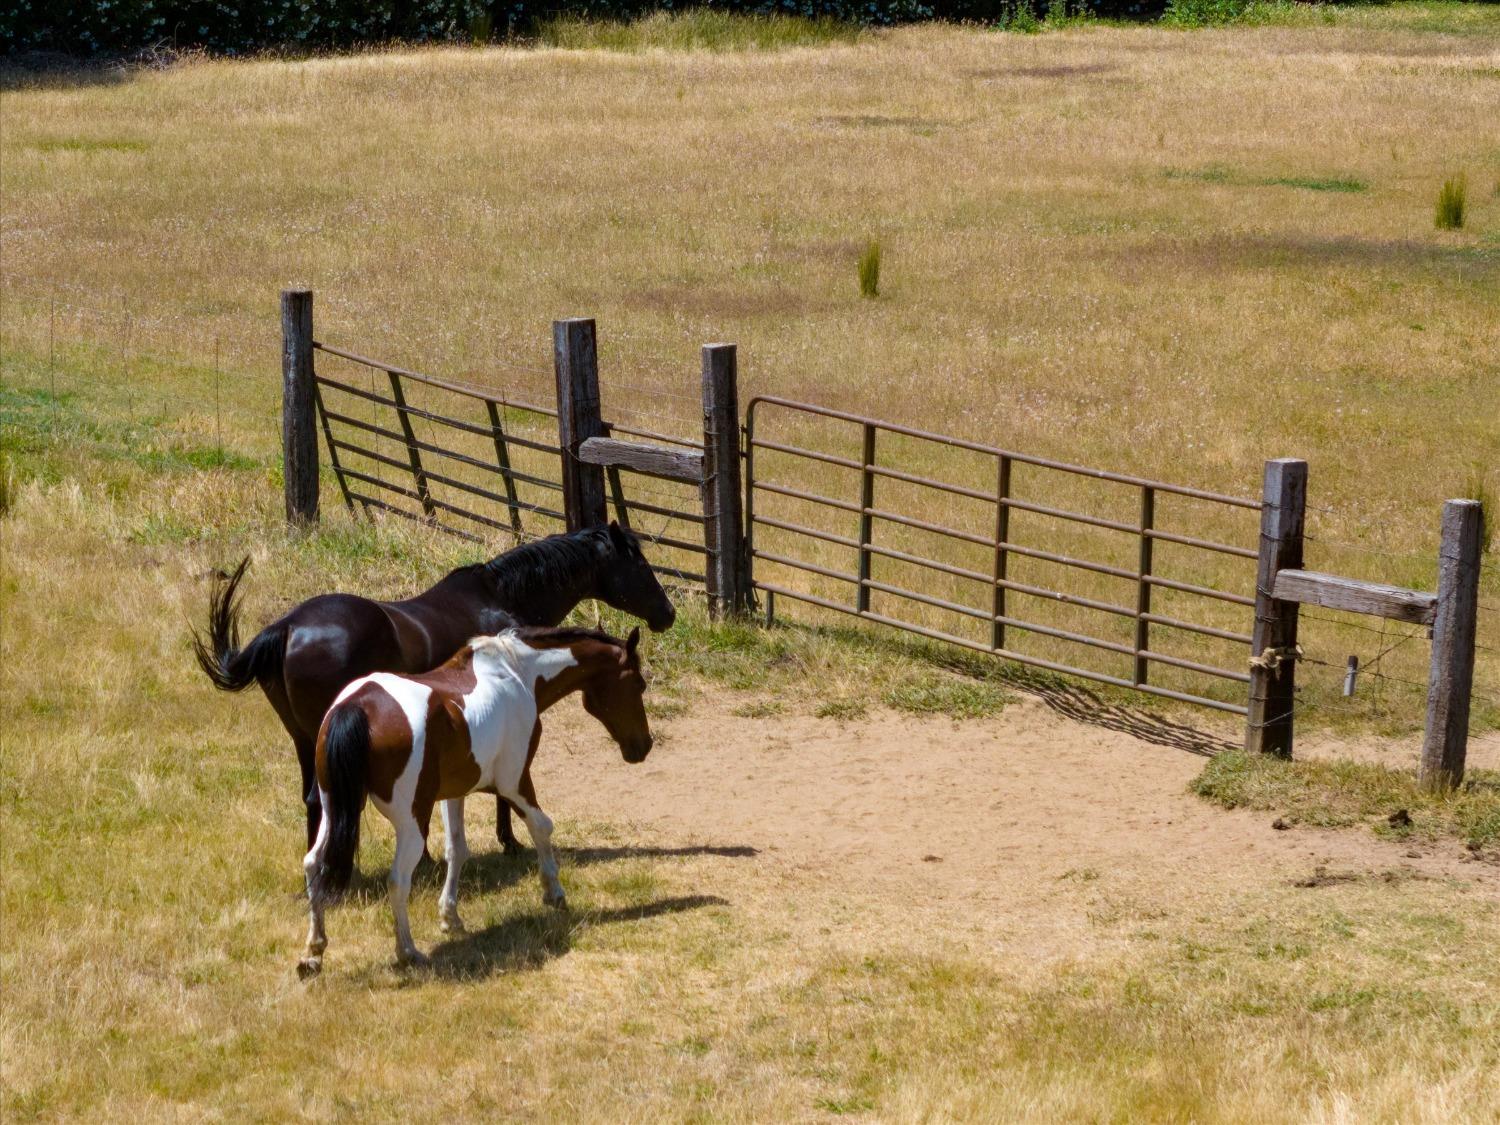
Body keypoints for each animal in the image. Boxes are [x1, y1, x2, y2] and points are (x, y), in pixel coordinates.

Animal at [193, 525, 675, 852]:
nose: (667, 614)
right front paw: (509, 841)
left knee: (314, 800)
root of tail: (288, 627)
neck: (501, 597)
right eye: (640, 566)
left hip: (303, 738)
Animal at [297, 627, 651, 978]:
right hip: (411, 823)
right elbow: (542, 826)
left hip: (335, 809)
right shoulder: (514, 781)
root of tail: (358, 707)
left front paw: (450, 917)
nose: (644, 746)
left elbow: (457, 849)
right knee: (397, 880)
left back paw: (313, 953)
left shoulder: (454, 793)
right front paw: (554, 893)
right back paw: (408, 951)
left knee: (314, 864)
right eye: (639, 684)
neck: (515, 672)